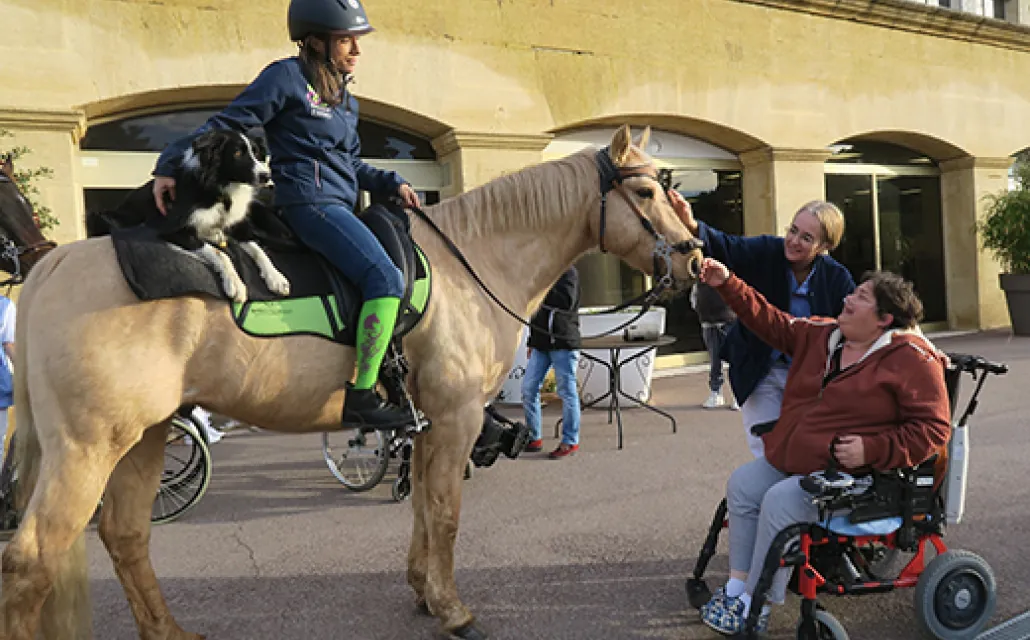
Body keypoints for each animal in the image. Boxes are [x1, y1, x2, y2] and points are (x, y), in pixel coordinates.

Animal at [149, 129, 288, 305]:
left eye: (256, 153)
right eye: (237, 153)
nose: (266, 176)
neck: (221, 190)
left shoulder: (238, 226)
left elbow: (259, 250)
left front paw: (276, 277)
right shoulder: (172, 230)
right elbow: (220, 253)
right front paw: (235, 283)